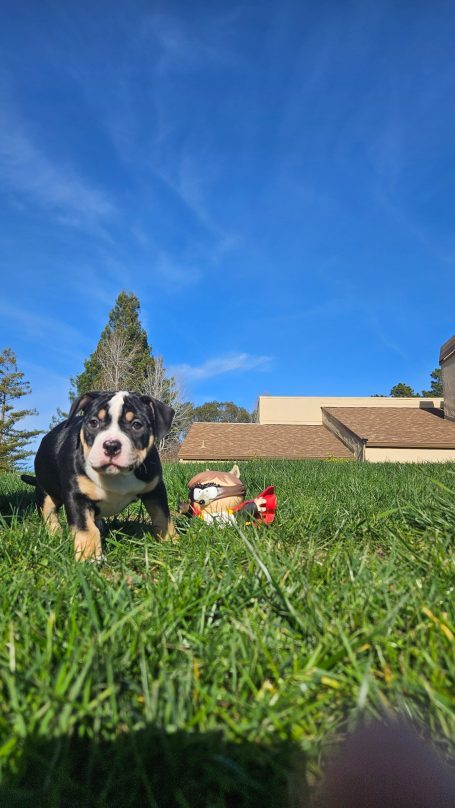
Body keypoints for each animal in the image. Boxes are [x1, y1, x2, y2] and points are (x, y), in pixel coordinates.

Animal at [22, 392, 176, 560]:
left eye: (137, 424)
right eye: (94, 422)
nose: (111, 445)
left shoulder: (155, 489)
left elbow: (162, 517)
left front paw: (171, 542)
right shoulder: (76, 496)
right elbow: (86, 528)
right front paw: (89, 557)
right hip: (46, 492)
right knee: (49, 514)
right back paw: (55, 535)